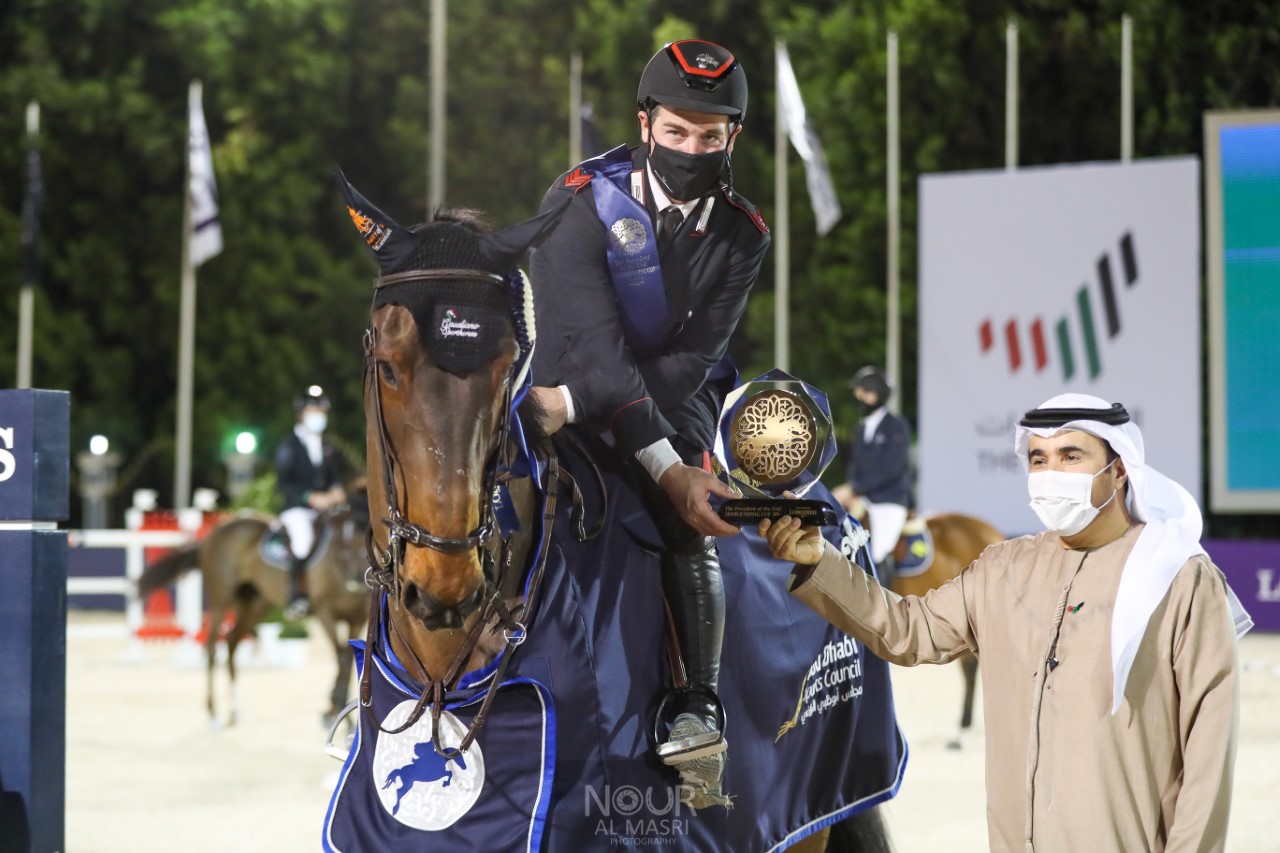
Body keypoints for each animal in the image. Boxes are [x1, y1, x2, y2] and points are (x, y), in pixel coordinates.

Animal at [137, 505, 370, 726]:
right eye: (348, 536)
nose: (359, 578)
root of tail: (215, 533)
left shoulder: (357, 618)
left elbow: (349, 662)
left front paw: (341, 713)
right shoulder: (325, 613)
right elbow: (341, 659)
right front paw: (338, 714)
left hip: (253, 605)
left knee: (231, 643)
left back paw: (234, 710)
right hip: (222, 600)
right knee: (212, 647)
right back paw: (213, 713)